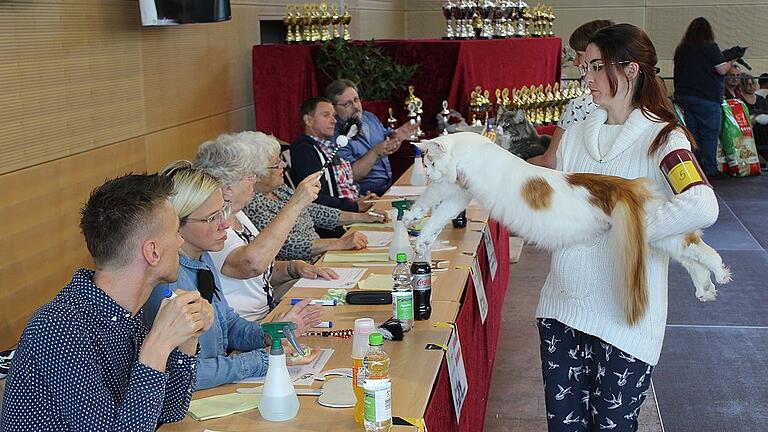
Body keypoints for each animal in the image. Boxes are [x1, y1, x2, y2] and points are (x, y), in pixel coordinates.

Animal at [402, 132, 732, 324]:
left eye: (430, 162)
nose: (428, 173)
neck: (473, 147)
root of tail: (628, 187)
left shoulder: (455, 187)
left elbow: (432, 202)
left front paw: (414, 224)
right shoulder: (459, 192)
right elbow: (433, 212)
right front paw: (417, 232)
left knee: (698, 249)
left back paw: (718, 275)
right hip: (657, 232)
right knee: (693, 253)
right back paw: (708, 286)